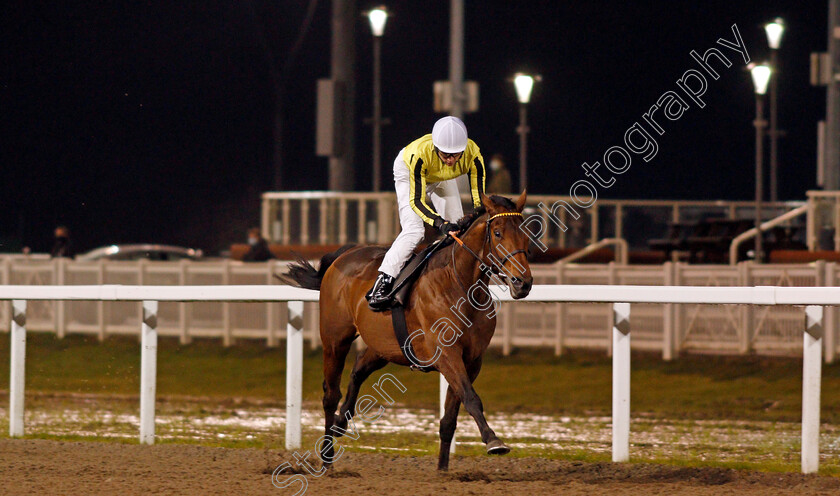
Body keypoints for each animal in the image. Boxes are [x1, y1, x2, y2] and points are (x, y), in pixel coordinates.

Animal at [282, 192, 532, 470]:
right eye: (497, 233)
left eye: (526, 232)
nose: (523, 283)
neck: (459, 283)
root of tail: (343, 255)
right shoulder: (446, 354)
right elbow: (471, 397)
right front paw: (493, 440)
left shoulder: (472, 359)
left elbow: (450, 417)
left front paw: (442, 469)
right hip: (335, 339)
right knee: (330, 394)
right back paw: (327, 458)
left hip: (384, 345)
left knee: (358, 368)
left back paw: (340, 423)